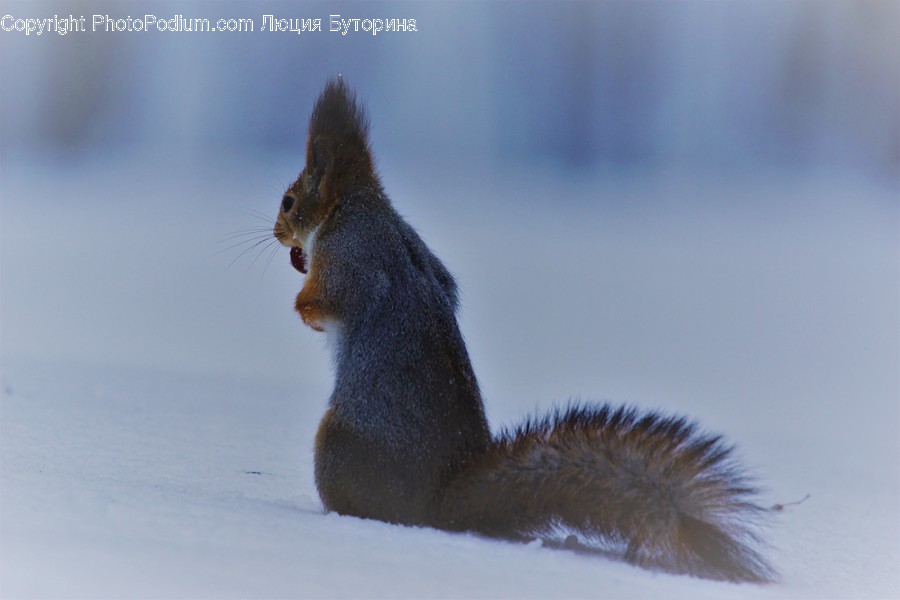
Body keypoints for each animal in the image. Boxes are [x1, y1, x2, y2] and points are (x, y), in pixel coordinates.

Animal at [273, 78, 774, 583]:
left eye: (289, 202)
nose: (277, 234)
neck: (355, 204)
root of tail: (435, 509)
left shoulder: (350, 254)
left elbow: (333, 299)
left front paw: (304, 310)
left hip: (337, 444)